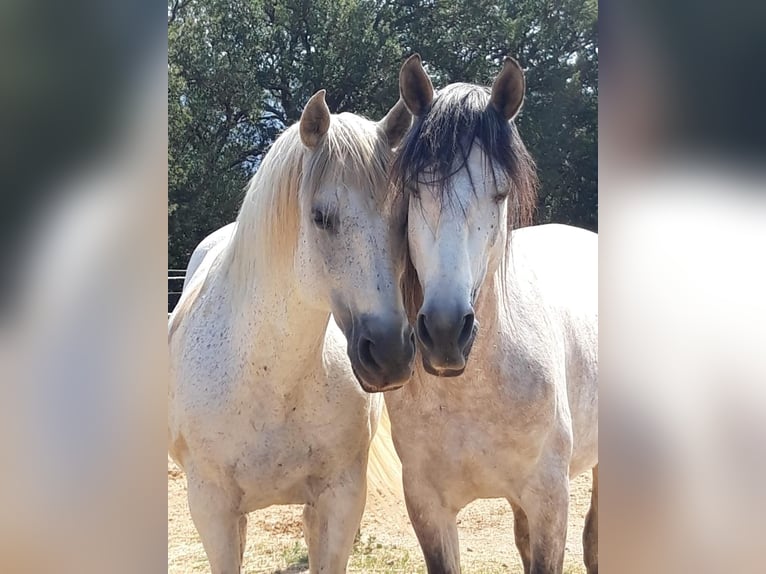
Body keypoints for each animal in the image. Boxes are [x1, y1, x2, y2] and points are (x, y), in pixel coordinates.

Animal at [171, 91, 416, 574]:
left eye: (402, 218)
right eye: (320, 217)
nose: (390, 354)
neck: (270, 378)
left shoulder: (340, 499)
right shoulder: (211, 508)